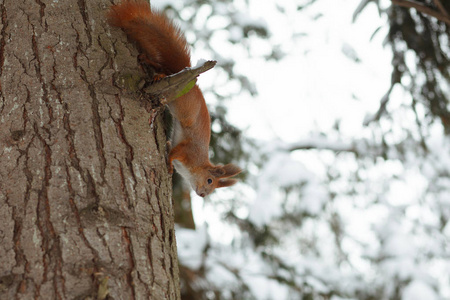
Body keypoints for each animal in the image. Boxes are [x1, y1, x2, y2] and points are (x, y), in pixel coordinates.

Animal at [108, 0, 243, 197]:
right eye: (210, 181)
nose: (202, 195)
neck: (198, 164)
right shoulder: (188, 150)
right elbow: (174, 153)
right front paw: (170, 165)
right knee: (164, 71)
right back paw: (157, 74)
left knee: (160, 66)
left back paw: (148, 61)